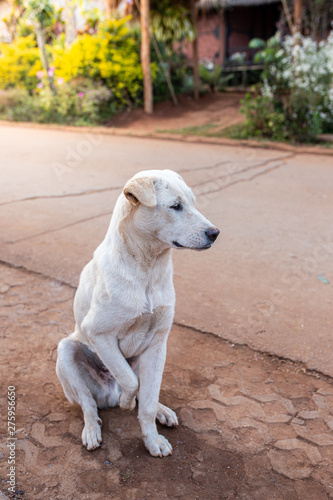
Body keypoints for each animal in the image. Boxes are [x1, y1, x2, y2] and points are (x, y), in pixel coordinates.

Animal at [55, 171, 219, 458]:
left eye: (193, 203)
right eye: (176, 206)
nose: (215, 233)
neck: (148, 268)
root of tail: (108, 393)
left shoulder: (158, 344)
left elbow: (148, 402)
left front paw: (153, 440)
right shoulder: (98, 334)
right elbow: (130, 381)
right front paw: (126, 403)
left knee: (147, 395)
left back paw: (162, 411)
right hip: (66, 351)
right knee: (88, 403)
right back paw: (93, 428)